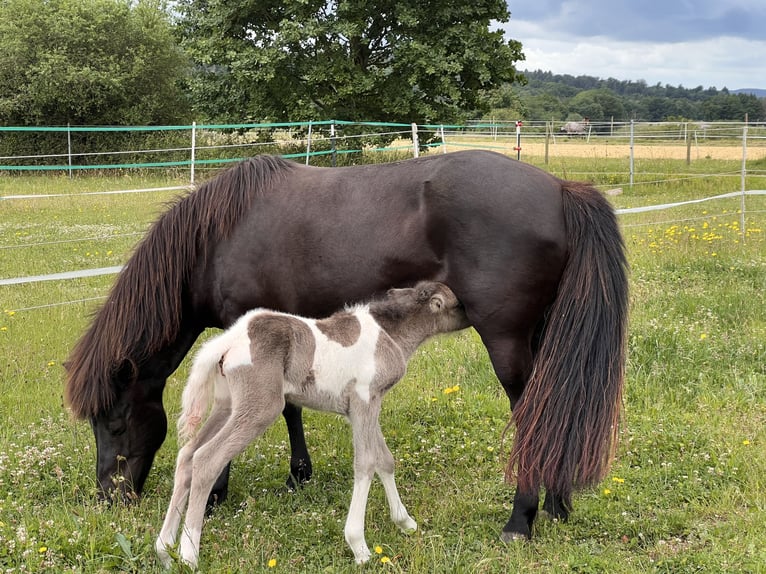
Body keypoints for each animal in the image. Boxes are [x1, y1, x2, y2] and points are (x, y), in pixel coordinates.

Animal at [155, 282, 469, 568]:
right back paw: (189, 556)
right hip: (260, 408)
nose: (472, 315)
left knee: (187, 456)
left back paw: (165, 549)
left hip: (227, 406)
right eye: (457, 304)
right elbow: (366, 463)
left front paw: (405, 522)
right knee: (206, 459)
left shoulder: (364, 407)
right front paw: (359, 546)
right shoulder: (364, 400)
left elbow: (385, 460)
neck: (389, 334)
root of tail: (229, 340)